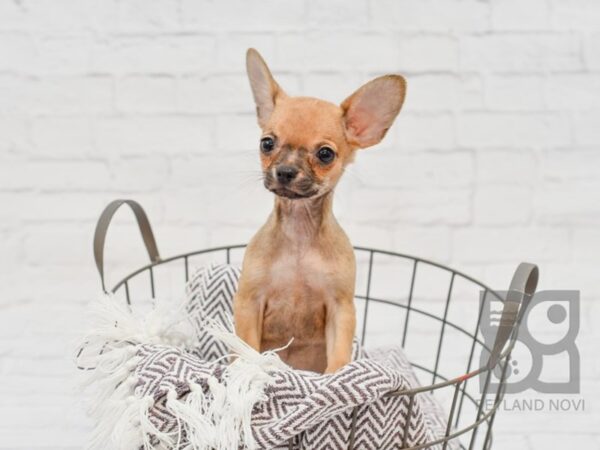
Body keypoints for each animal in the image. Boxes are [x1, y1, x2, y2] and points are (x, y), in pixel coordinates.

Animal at [234, 48, 408, 372]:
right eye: (267, 143)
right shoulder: (249, 302)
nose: (285, 171)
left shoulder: (341, 308)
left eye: (325, 154)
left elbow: (339, 356)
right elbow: (245, 348)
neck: (299, 234)